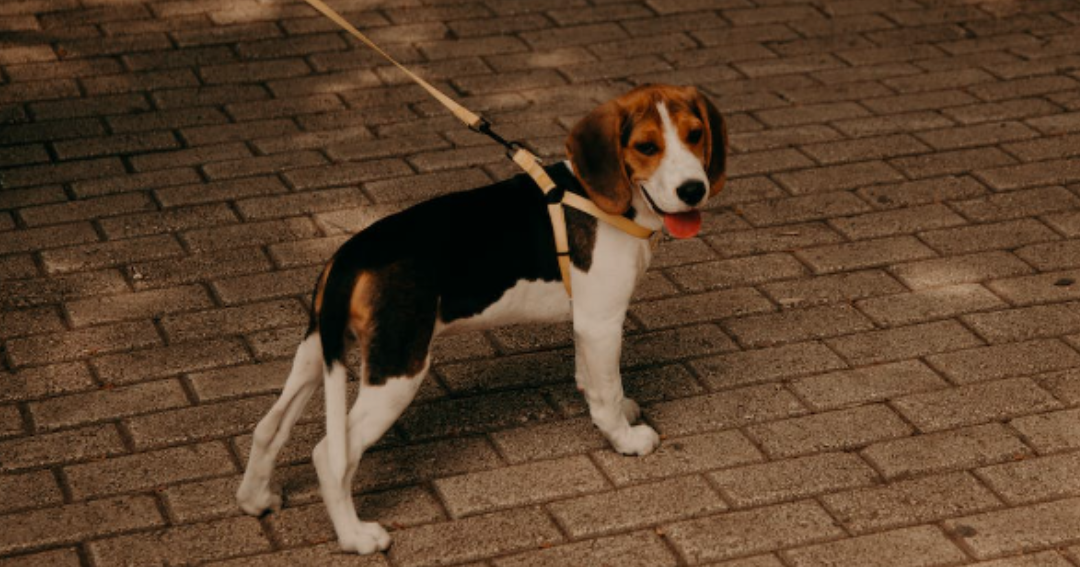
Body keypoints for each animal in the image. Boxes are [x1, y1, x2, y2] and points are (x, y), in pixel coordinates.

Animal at [234, 84, 725, 552]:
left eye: (695, 134)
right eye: (646, 146)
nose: (693, 190)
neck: (602, 199)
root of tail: (350, 256)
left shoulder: (586, 321)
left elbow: (592, 379)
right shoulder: (601, 323)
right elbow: (607, 390)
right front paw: (624, 438)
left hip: (317, 350)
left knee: (269, 427)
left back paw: (255, 499)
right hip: (397, 369)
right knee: (330, 454)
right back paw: (356, 537)